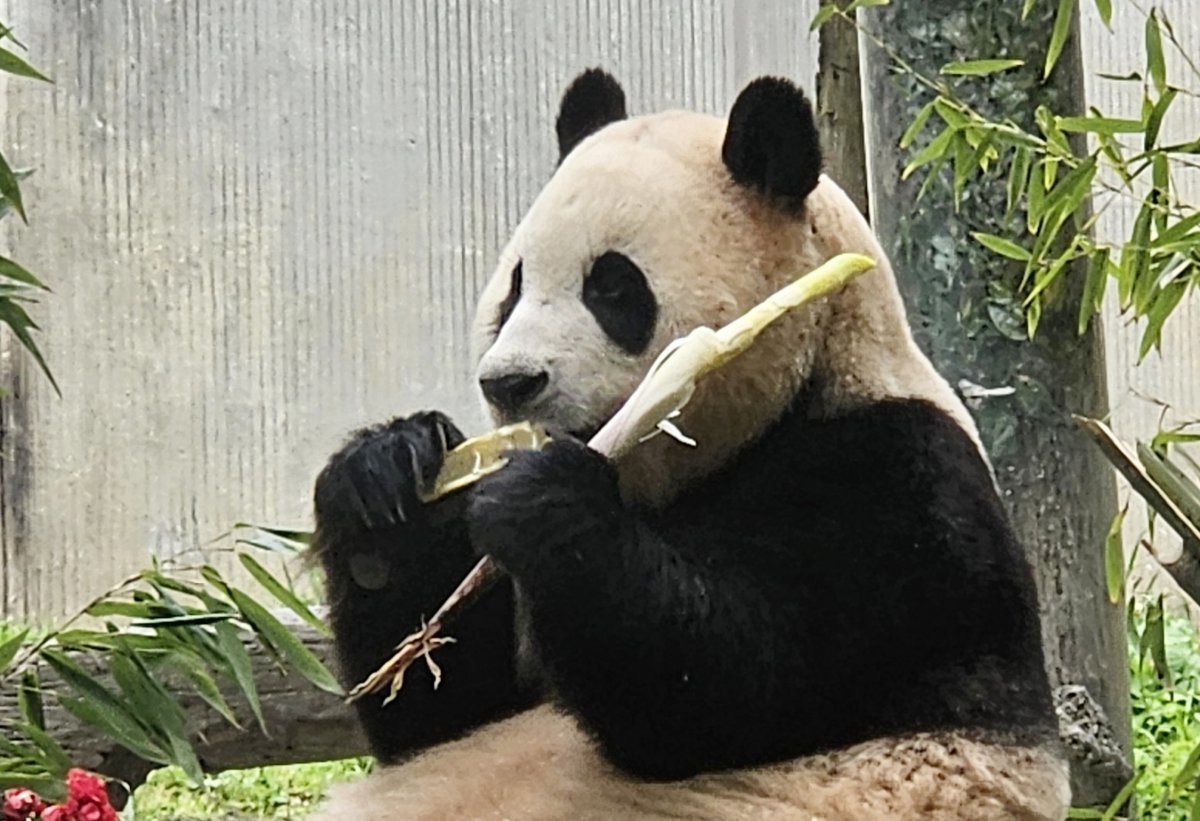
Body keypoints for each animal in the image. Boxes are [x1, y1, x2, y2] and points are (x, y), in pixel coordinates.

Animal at [309, 70, 1070, 820]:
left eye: (613, 288)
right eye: (514, 288)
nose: (510, 381)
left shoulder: (897, 487)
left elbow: (726, 690)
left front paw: (543, 500)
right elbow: (446, 706)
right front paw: (384, 477)